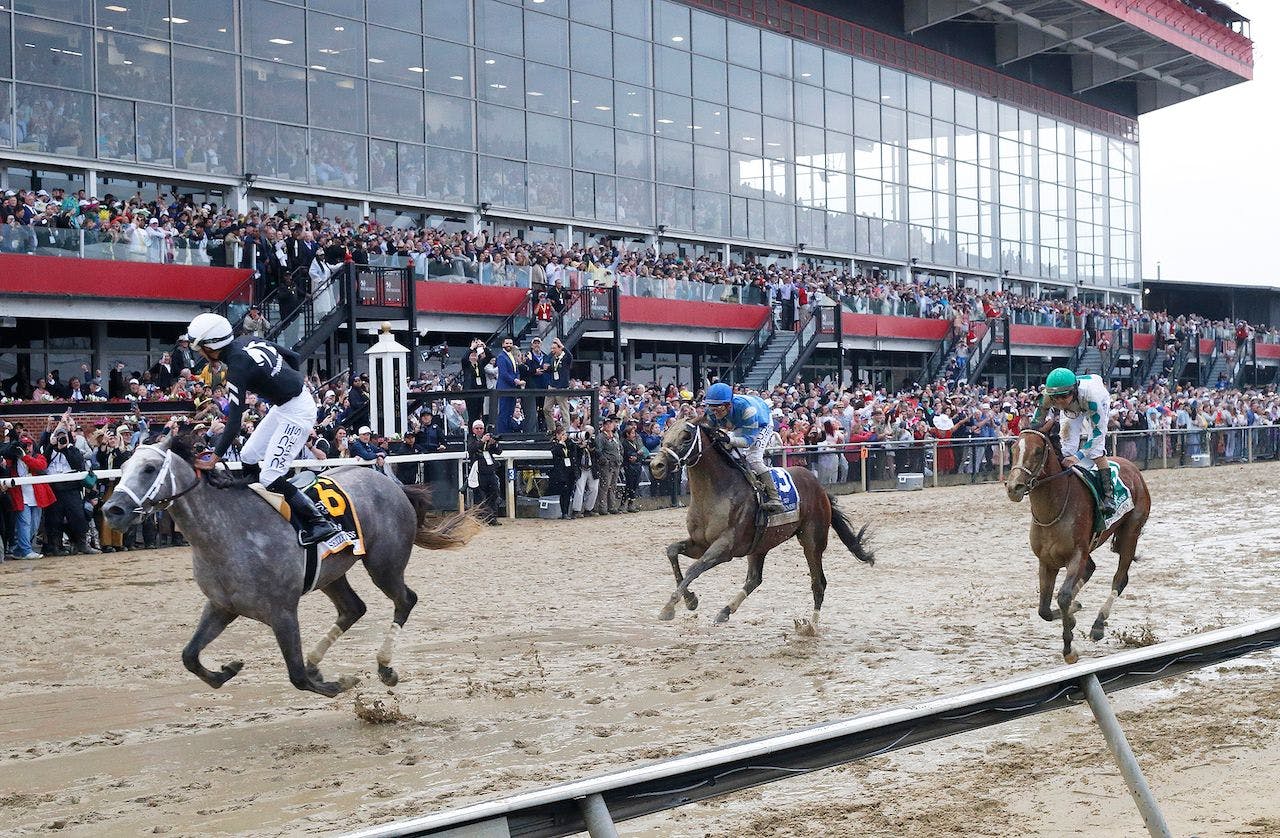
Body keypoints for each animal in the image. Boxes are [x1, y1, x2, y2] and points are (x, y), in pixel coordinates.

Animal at [102, 434, 481, 695]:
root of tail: (391, 483)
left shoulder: (282, 611)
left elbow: (296, 676)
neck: (228, 532)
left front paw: (339, 683)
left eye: (149, 468)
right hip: (332, 573)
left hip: (384, 565)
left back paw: (384, 667)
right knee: (353, 608)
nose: (112, 510)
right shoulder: (222, 606)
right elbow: (189, 655)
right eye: (123, 468)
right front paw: (227, 670)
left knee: (405, 600)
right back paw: (318, 661)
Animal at [645, 417, 875, 632]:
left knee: (818, 583)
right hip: (759, 545)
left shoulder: (724, 548)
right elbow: (672, 551)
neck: (716, 492)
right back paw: (725, 611)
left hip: (812, 540)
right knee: (754, 579)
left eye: (686, 436)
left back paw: (811, 626)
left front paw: (669, 608)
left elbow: (694, 569)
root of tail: (820, 488)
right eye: (664, 434)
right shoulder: (700, 544)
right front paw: (690, 599)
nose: (656, 465)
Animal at [1003, 429, 1157, 665]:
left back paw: (1098, 625)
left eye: (1038, 451)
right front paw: (1072, 614)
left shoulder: (1076, 555)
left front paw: (1069, 649)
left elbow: (1064, 596)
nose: (1014, 488)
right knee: (1090, 569)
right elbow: (1044, 610)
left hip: (1130, 533)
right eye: (1013, 449)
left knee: (1119, 579)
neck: (1054, 508)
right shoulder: (1046, 561)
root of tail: (1131, 466)